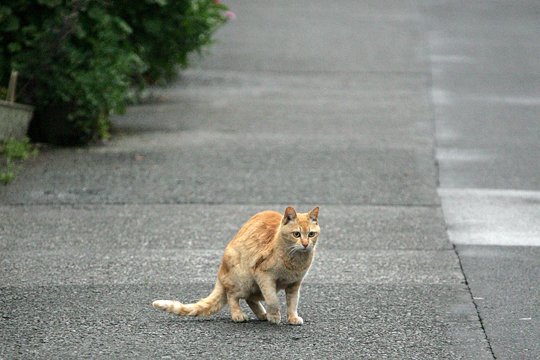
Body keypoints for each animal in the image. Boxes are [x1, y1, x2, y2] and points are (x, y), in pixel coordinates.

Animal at [152, 205, 320, 326]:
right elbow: (273, 300)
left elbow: (292, 303)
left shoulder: (294, 284)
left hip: (254, 287)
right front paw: (274, 316)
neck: (294, 260)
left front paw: (292, 318)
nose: (305, 244)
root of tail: (220, 273)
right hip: (244, 280)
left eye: (311, 234)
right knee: (232, 295)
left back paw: (262, 314)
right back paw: (239, 315)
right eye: (296, 234)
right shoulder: (264, 276)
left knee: (250, 299)